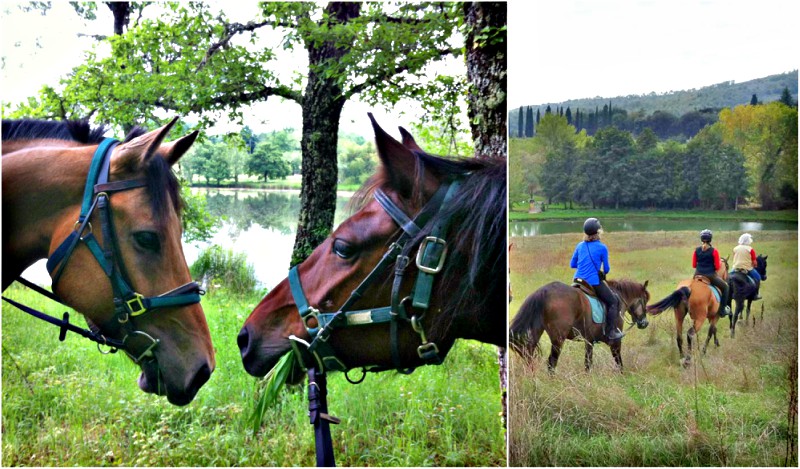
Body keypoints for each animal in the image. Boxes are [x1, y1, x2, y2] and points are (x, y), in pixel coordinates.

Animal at [510, 280, 652, 372]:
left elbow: (587, 363)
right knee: (551, 362)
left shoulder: (589, 341)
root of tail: (544, 291)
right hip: (558, 339)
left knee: (529, 355)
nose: (644, 323)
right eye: (645, 300)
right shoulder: (615, 342)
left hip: (534, 334)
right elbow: (619, 361)